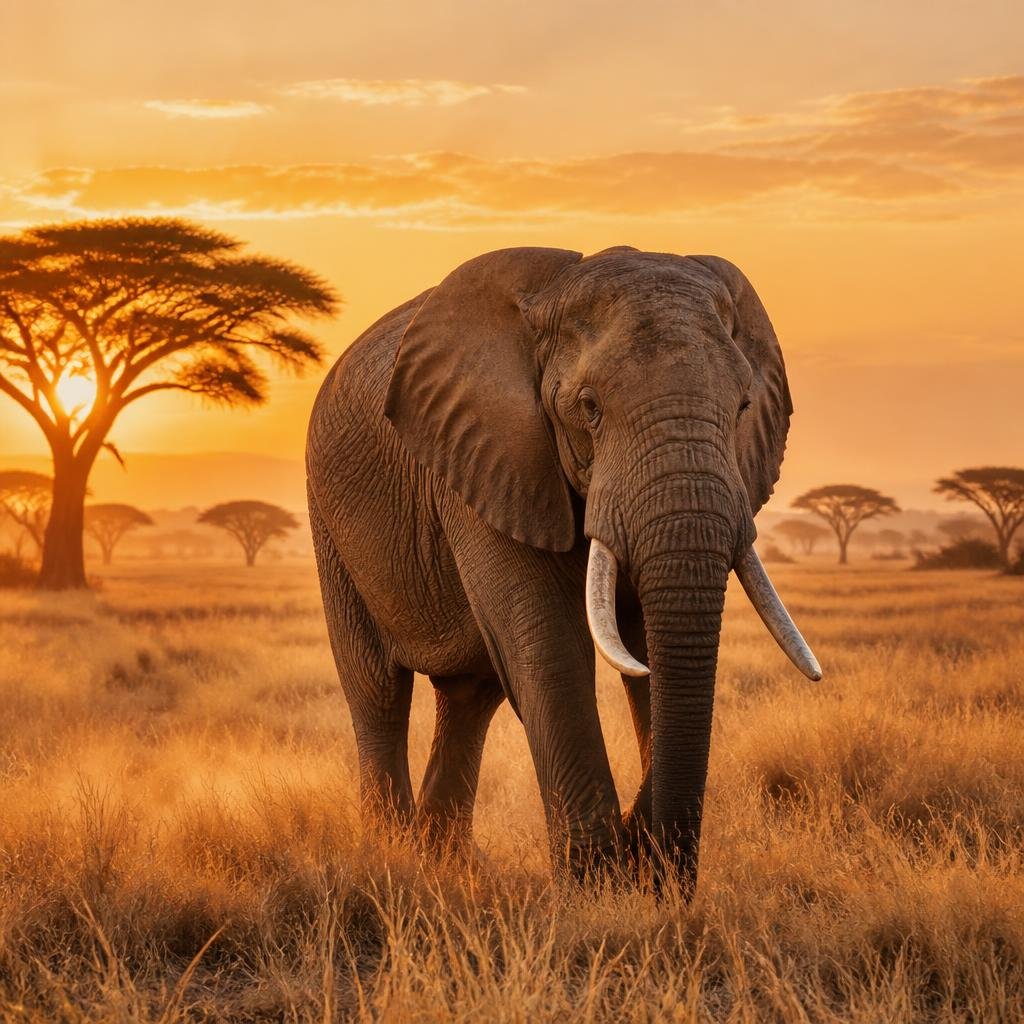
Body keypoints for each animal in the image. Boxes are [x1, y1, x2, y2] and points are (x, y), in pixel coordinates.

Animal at [306, 245, 820, 890]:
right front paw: (596, 889)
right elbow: (551, 649)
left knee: (470, 696)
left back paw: (449, 863)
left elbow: (648, 648)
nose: (652, 858)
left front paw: (638, 868)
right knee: (377, 689)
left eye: (743, 407)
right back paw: (391, 855)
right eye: (589, 408)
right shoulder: (492, 456)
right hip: (329, 522)